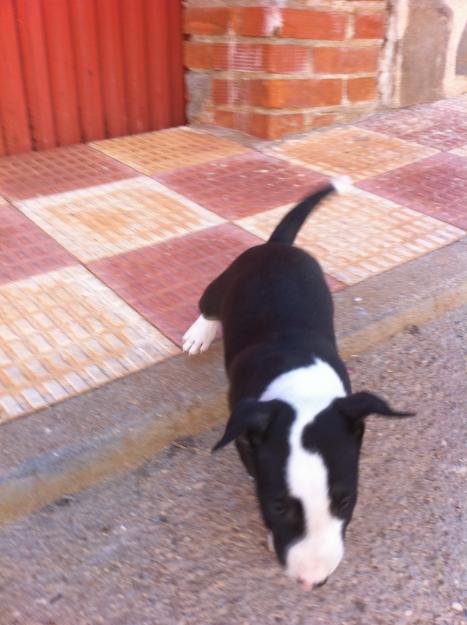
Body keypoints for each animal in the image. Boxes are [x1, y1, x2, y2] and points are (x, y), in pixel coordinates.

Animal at [183, 178, 414, 588]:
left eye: (345, 500)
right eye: (277, 505)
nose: (313, 581)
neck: (300, 386)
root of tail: (277, 245)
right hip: (224, 280)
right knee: (207, 306)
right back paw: (199, 334)